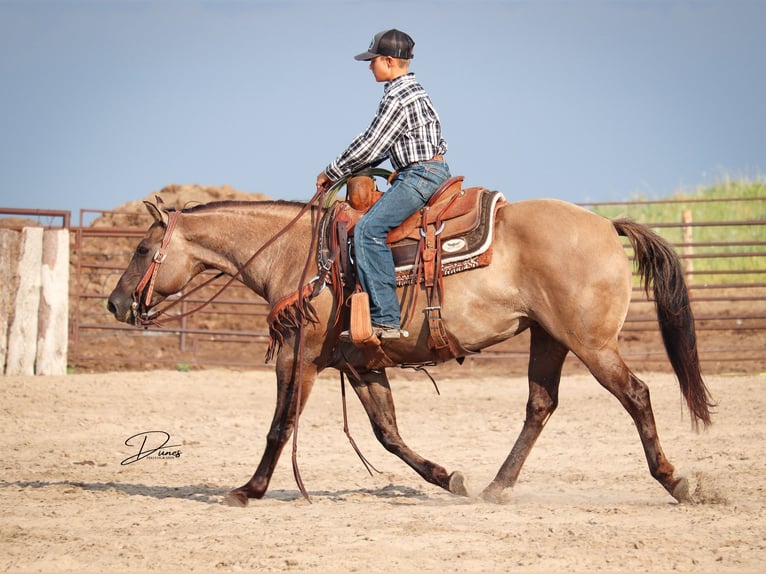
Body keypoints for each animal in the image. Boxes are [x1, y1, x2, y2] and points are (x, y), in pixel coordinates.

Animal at [106, 189, 712, 508]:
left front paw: (248, 490)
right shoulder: (359, 364)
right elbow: (388, 433)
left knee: (636, 394)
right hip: (549, 339)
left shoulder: (299, 356)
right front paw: (447, 477)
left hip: (591, 343)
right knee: (540, 406)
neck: (298, 256)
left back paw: (675, 480)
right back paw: (496, 485)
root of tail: (607, 225)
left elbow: (280, 425)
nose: (114, 304)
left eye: (140, 249)